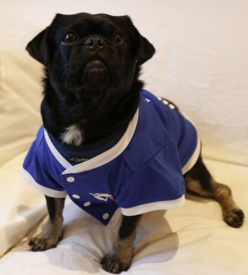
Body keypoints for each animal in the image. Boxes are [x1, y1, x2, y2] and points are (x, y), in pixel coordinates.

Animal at [22, 12, 244, 274]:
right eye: (69, 37)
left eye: (119, 38)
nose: (95, 41)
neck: (87, 110)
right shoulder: (46, 176)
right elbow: (53, 212)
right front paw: (48, 236)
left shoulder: (142, 187)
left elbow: (126, 229)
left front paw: (119, 256)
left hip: (190, 176)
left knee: (221, 188)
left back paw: (232, 213)